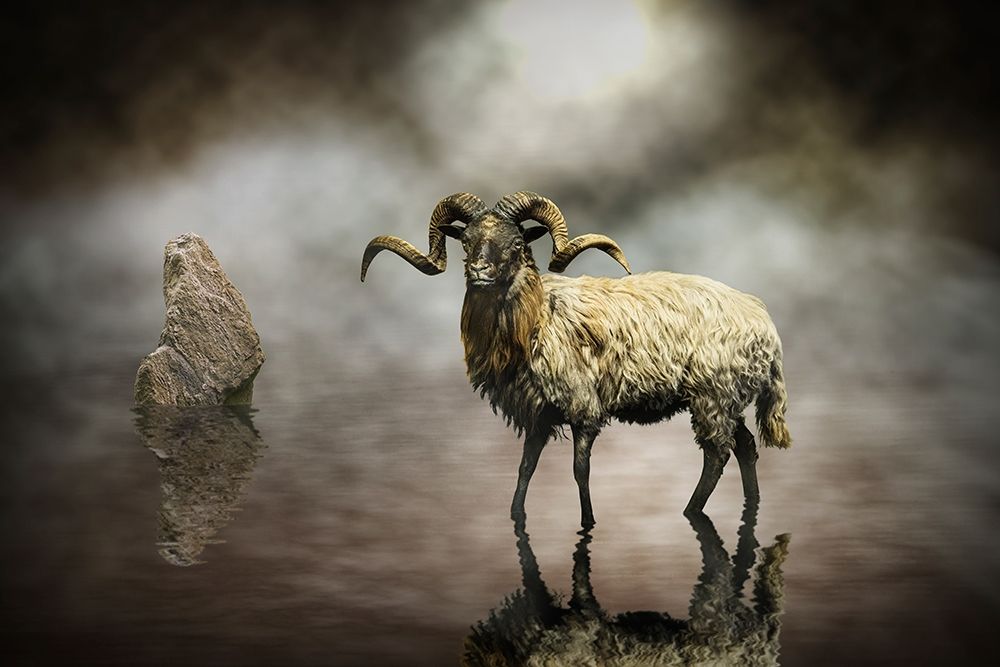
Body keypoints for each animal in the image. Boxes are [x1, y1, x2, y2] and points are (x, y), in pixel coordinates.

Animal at [361, 191, 791, 526]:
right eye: (465, 241)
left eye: (517, 244)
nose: (479, 271)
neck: (538, 319)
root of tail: (765, 325)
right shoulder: (538, 414)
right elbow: (525, 467)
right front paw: (515, 514)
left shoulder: (583, 408)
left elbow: (579, 470)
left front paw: (587, 521)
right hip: (726, 398)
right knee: (745, 445)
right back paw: (751, 503)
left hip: (712, 395)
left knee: (717, 454)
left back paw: (691, 511)